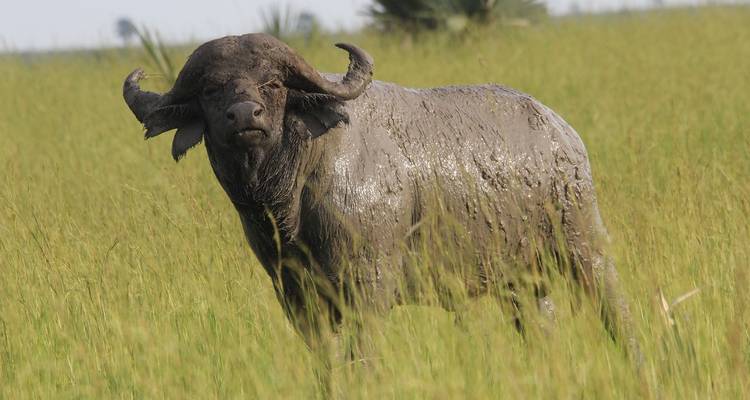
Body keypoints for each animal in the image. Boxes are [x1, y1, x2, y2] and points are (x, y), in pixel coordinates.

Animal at [123, 33, 641, 364]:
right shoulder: (296, 296)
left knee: (616, 312)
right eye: (212, 89)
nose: (244, 115)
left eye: (272, 83)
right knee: (541, 330)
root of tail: (561, 132)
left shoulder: (367, 288)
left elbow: (362, 359)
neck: (291, 196)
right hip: (521, 282)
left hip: (584, 245)